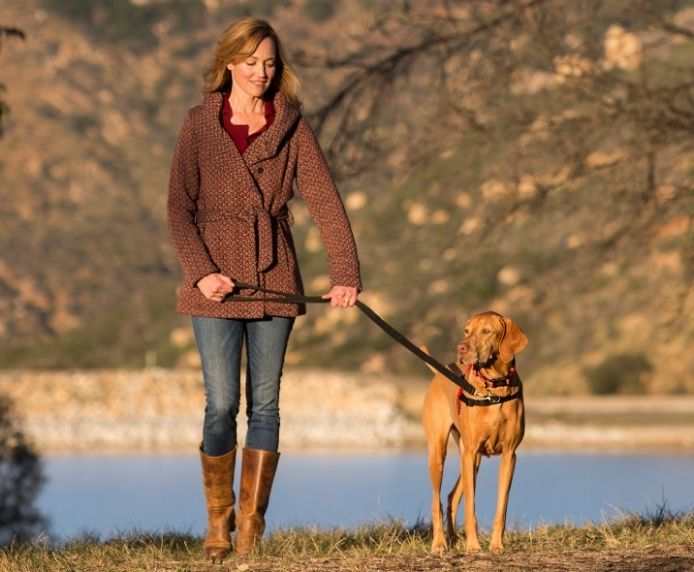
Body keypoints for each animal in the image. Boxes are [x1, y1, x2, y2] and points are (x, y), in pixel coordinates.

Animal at [422, 312, 532, 556]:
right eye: (466, 330)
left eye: (486, 331)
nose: (461, 348)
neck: (494, 388)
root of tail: (441, 372)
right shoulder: (471, 452)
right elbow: (471, 506)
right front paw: (473, 546)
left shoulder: (509, 455)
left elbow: (502, 506)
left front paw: (497, 545)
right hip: (440, 453)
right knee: (436, 501)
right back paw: (439, 543)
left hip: (473, 459)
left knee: (452, 497)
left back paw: (453, 540)